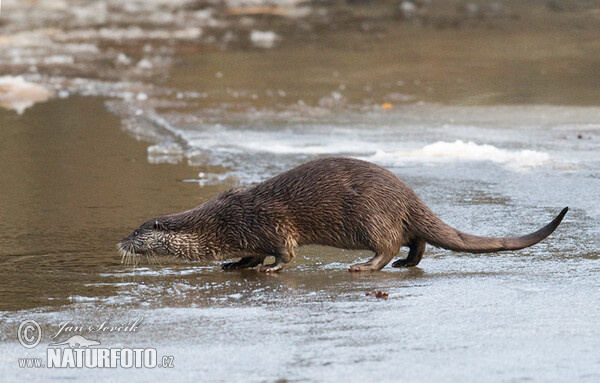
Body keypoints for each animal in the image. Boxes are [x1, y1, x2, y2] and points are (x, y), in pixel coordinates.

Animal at [117, 158, 568, 272]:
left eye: (138, 231)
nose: (119, 240)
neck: (220, 223)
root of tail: (406, 193)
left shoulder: (268, 224)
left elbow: (283, 252)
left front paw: (269, 269)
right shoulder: (248, 233)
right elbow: (250, 253)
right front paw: (235, 264)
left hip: (369, 215)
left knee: (388, 243)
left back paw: (365, 266)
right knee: (417, 240)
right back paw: (407, 263)